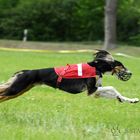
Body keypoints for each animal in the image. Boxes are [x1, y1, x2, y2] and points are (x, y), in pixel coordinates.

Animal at [0, 49, 138, 103]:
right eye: (122, 65)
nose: (131, 73)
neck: (97, 67)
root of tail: (25, 71)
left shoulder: (95, 92)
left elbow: (115, 94)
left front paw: (131, 100)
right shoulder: (91, 90)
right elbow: (112, 88)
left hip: (19, 91)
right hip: (16, 89)